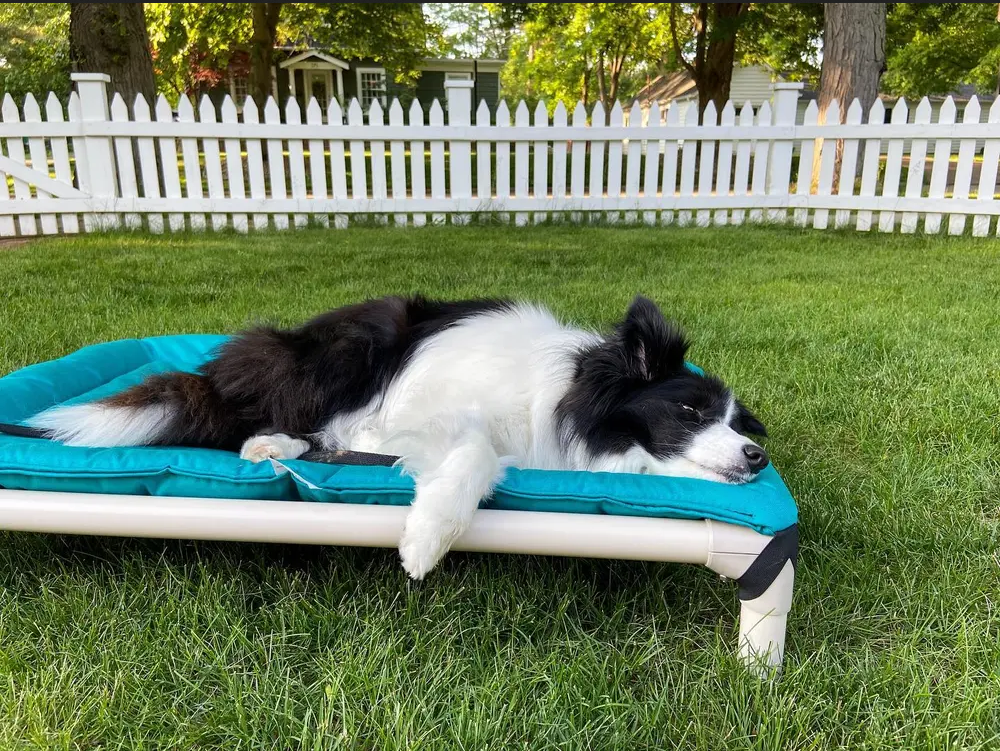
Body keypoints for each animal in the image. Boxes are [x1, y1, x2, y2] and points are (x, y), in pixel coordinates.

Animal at [29, 296, 764, 580]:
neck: (559, 398)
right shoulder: (415, 408)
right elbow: (469, 452)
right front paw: (425, 540)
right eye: (691, 409)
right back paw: (271, 444)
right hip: (353, 349)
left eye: (739, 425)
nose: (758, 456)